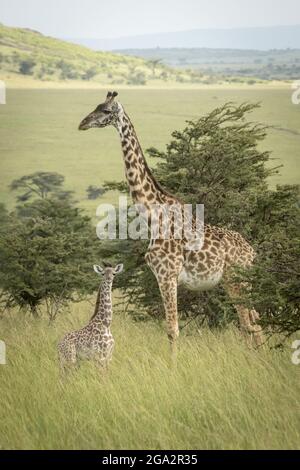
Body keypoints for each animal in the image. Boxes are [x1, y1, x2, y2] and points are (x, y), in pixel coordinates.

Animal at [78, 92, 264, 348]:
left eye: (106, 111)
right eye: (96, 106)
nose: (82, 123)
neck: (152, 214)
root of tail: (252, 252)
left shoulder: (167, 274)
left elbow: (172, 330)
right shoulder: (160, 276)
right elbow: (171, 329)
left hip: (237, 279)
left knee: (249, 324)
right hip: (235, 282)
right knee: (254, 322)